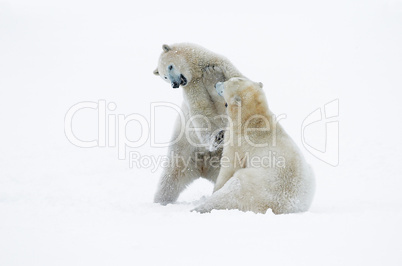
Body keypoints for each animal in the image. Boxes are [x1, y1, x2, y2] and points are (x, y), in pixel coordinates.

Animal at [193, 77, 316, 214]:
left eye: (225, 84)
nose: (216, 84)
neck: (252, 120)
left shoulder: (237, 142)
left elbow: (228, 166)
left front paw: (214, 190)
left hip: (247, 185)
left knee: (231, 191)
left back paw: (200, 206)